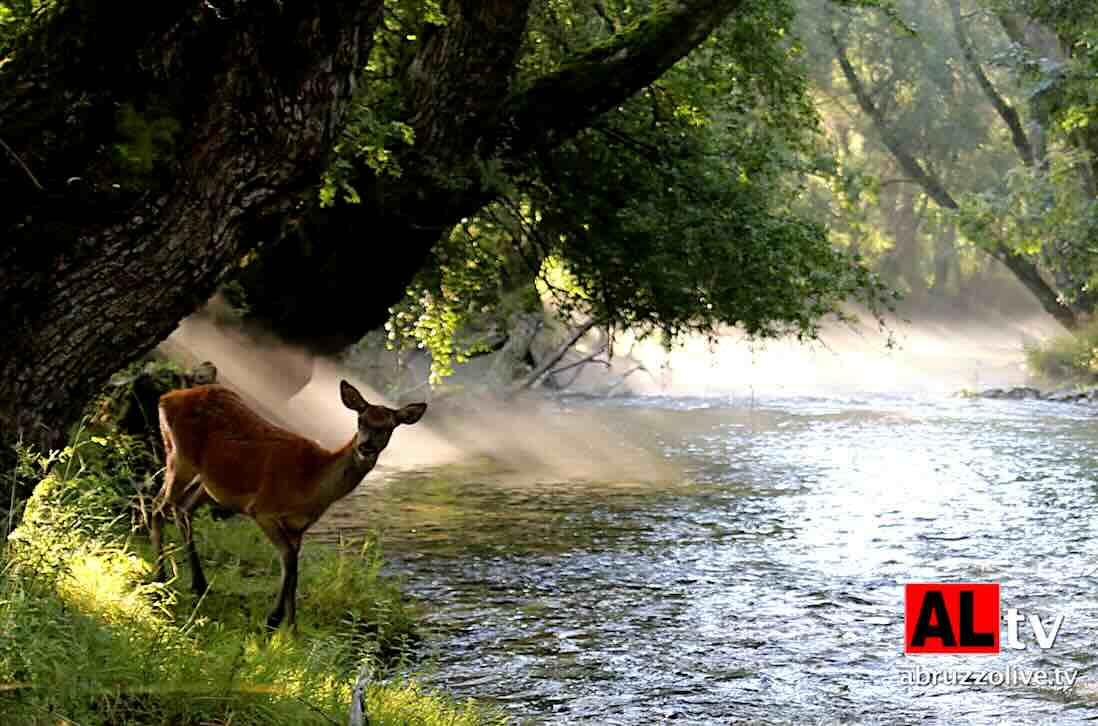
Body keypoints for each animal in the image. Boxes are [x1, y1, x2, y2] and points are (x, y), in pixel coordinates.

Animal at [146, 380, 419, 628]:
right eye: (361, 420)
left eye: (388, 427)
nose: (365, 447)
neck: (311, 484)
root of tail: (165, 397)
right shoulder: (262, 508)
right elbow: (287, 559)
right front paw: (274, 620)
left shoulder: (298, 526)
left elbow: (294, 569)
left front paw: (291, 628)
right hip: (178, 456)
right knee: (158, 507)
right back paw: (160, 579)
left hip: (208, 481)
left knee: (183, 507)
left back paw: (199, 584)